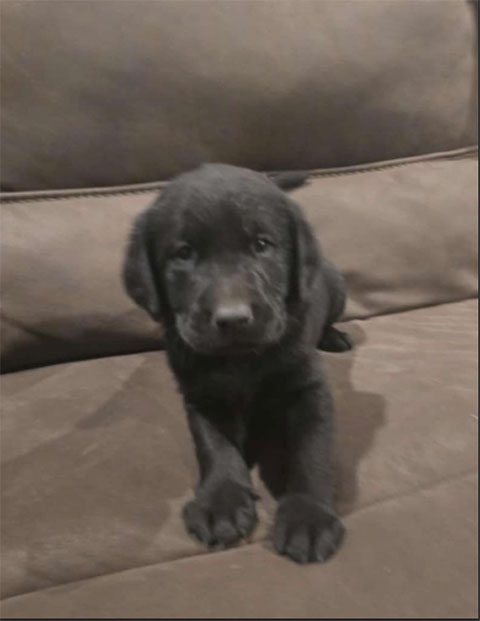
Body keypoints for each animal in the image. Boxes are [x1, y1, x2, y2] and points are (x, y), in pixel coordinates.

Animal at [122, 163, 350, 560]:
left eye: (262, 245)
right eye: (183, 253)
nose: (232, 318)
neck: (242, 360)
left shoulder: (309, 388)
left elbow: (312, 451)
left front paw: (309, 515)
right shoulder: (203, 395)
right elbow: (215, 447)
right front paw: (220, 503)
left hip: (338, 290)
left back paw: (334, 336)